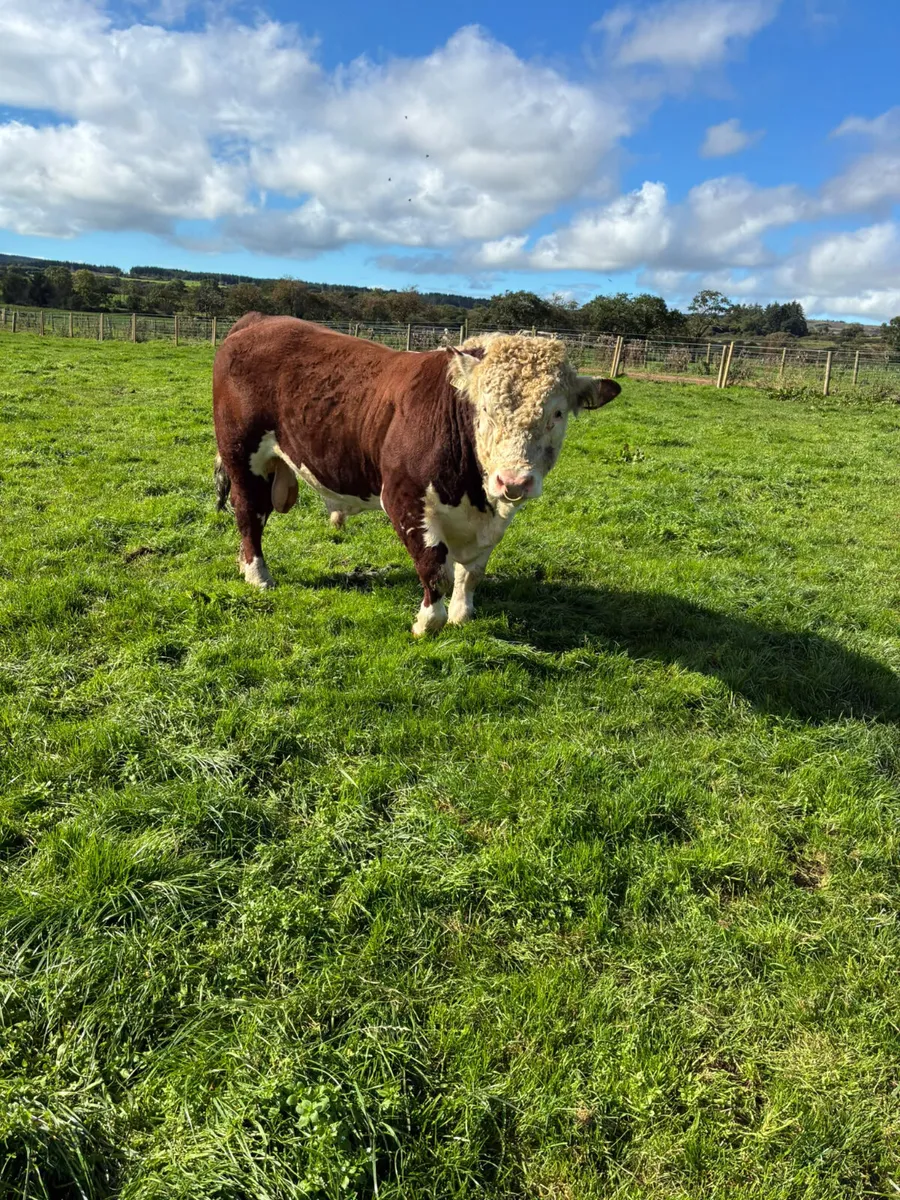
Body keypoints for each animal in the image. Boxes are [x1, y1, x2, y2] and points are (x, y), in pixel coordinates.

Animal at [213, 315, 620, 635]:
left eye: (557, 413)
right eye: (486, 409)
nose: (514, 481)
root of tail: (258, 321)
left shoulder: (490, 521)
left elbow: (471, 572)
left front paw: (461, 613)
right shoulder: (404, 499)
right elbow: (433, 566)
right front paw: (428, 622)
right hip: (242, 456)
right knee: (249, 513)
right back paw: (258, 574)